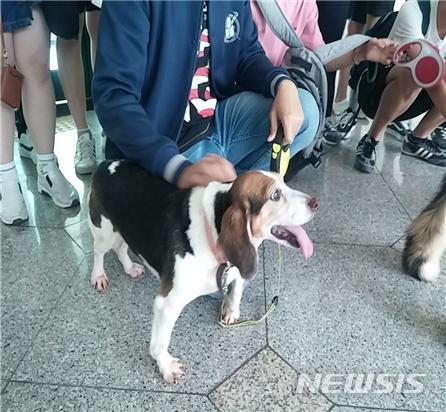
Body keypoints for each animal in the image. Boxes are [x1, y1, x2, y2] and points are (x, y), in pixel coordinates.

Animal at [88, 160, 318, 384]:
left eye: (284, 182)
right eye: (275, 195)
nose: (315, 202)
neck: (214, 226)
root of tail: (105, 164)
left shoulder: (236, 269)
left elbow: (235, 292)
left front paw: (230, 312)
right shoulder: (167, 305)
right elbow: (160, 343)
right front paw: (166, 366)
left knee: (121, 248)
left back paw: (130, 268)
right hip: (104, 232)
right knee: (99, 252)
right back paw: (98, 276)